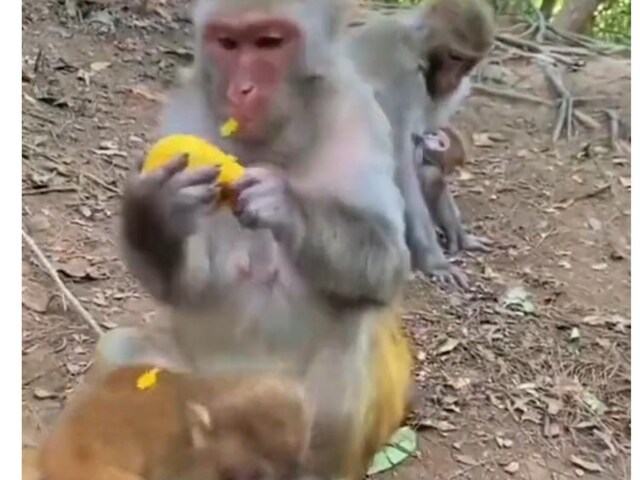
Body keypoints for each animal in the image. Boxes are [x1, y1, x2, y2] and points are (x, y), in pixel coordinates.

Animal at [105, 0, 413, 479]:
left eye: (269, 42)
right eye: (228, 43)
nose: (241, 89)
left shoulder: (359, 116)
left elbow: (389, 261)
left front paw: (286, 205)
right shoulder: (184, 112)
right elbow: (191, 283)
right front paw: (155, 213)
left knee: (344, 358)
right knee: (123, 354)